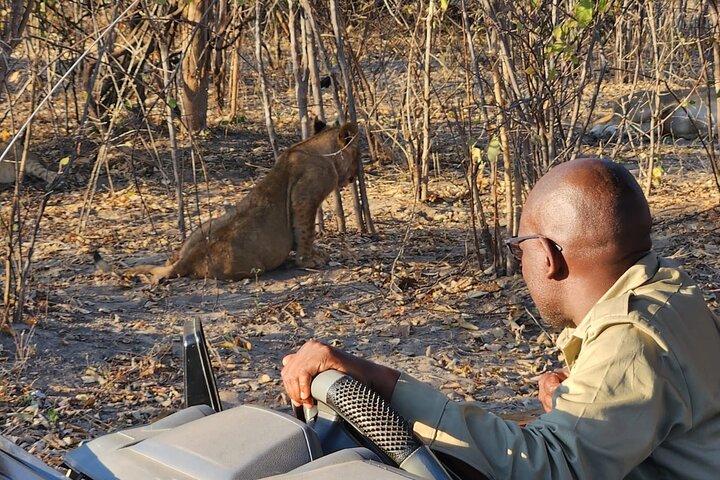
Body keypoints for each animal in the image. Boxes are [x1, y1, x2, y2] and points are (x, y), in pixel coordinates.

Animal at [123, 119, 361, 282]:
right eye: (358, 154)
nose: (358, 173)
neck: (317, 148)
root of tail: (186, 260)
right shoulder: (306, 197)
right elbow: (305, 232)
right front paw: (309, 260)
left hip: (204, 226)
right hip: (251, 266)